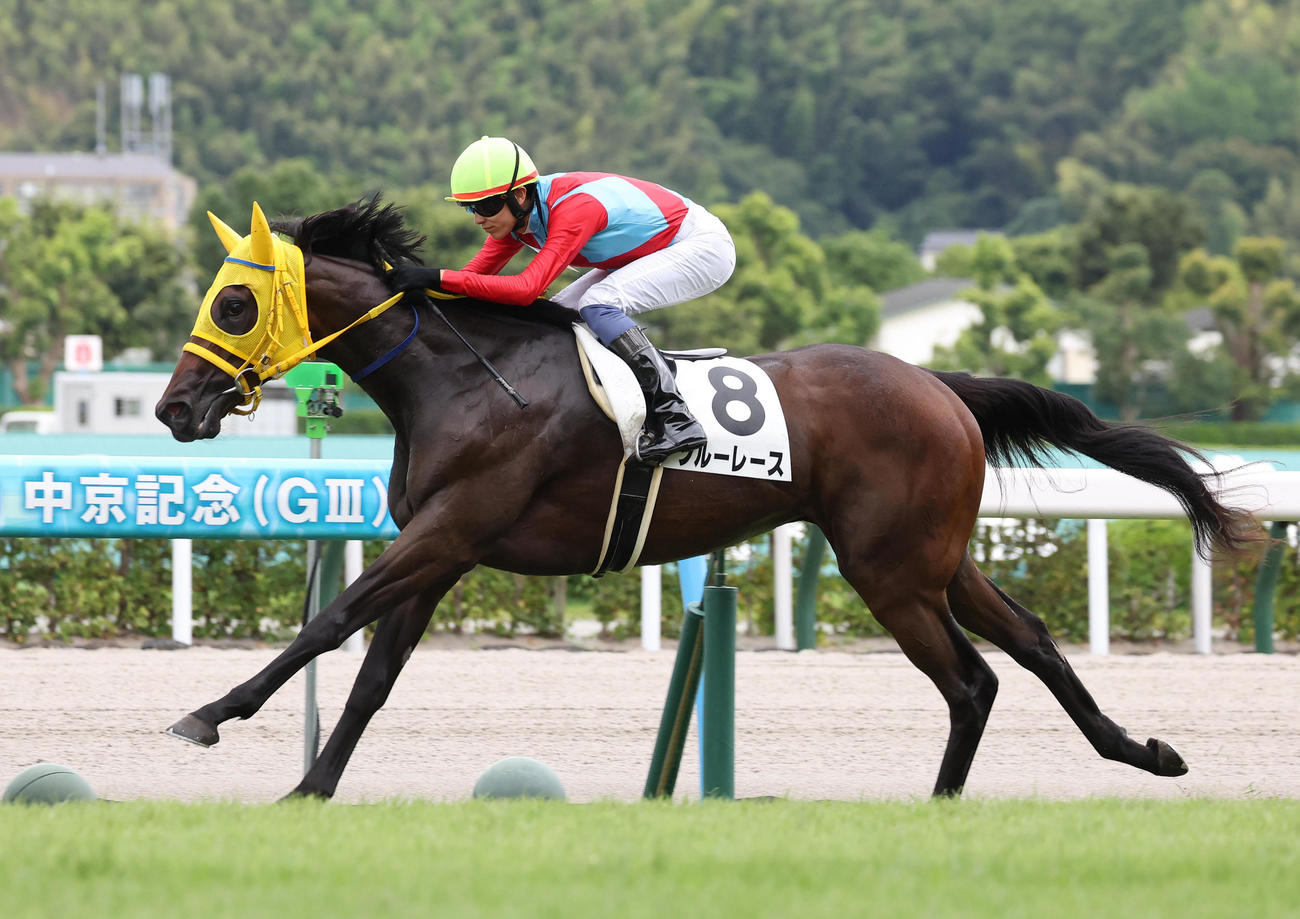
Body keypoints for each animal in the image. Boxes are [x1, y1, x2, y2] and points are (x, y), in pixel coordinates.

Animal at [155, 195, 1259, 800]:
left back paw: (941, 806)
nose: (173, 407)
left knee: (970, 679)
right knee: (1026, 641)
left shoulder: (447, 531)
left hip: (891, 569)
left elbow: (329, 620)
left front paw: (207, 715)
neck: (460, 377)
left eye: (235, 302)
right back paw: (1143, 753)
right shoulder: (442, 549)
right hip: (932, 557)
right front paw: (310, 785)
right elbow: (373, 674)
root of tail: (941, 386)